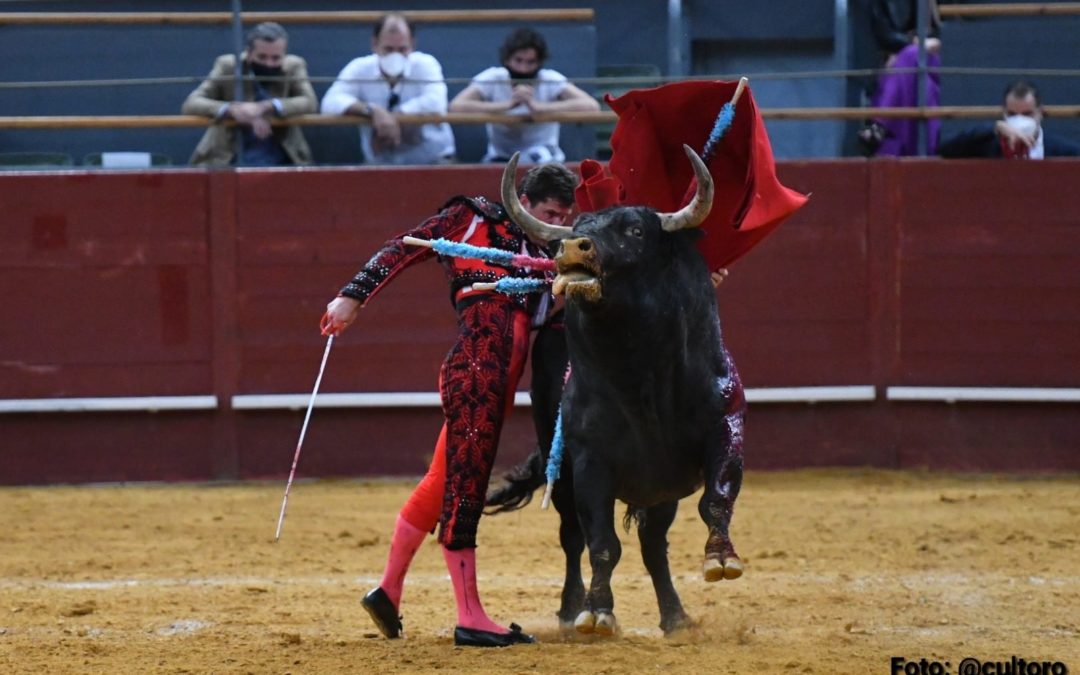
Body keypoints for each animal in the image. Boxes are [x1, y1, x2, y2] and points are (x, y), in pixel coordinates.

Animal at [488, 144, 743, 635]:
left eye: (636, 230)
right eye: (578, 229)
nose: (572, 247)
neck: (641, 374)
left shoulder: (725, 427)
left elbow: (717, 499)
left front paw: (721, 559)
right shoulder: (592, 462)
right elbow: (601, 543)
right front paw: (597, 610)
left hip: (662, 490)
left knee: (653, 543)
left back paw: (675, 616)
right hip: (564, 472)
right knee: (573, 538)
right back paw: (571, 610)